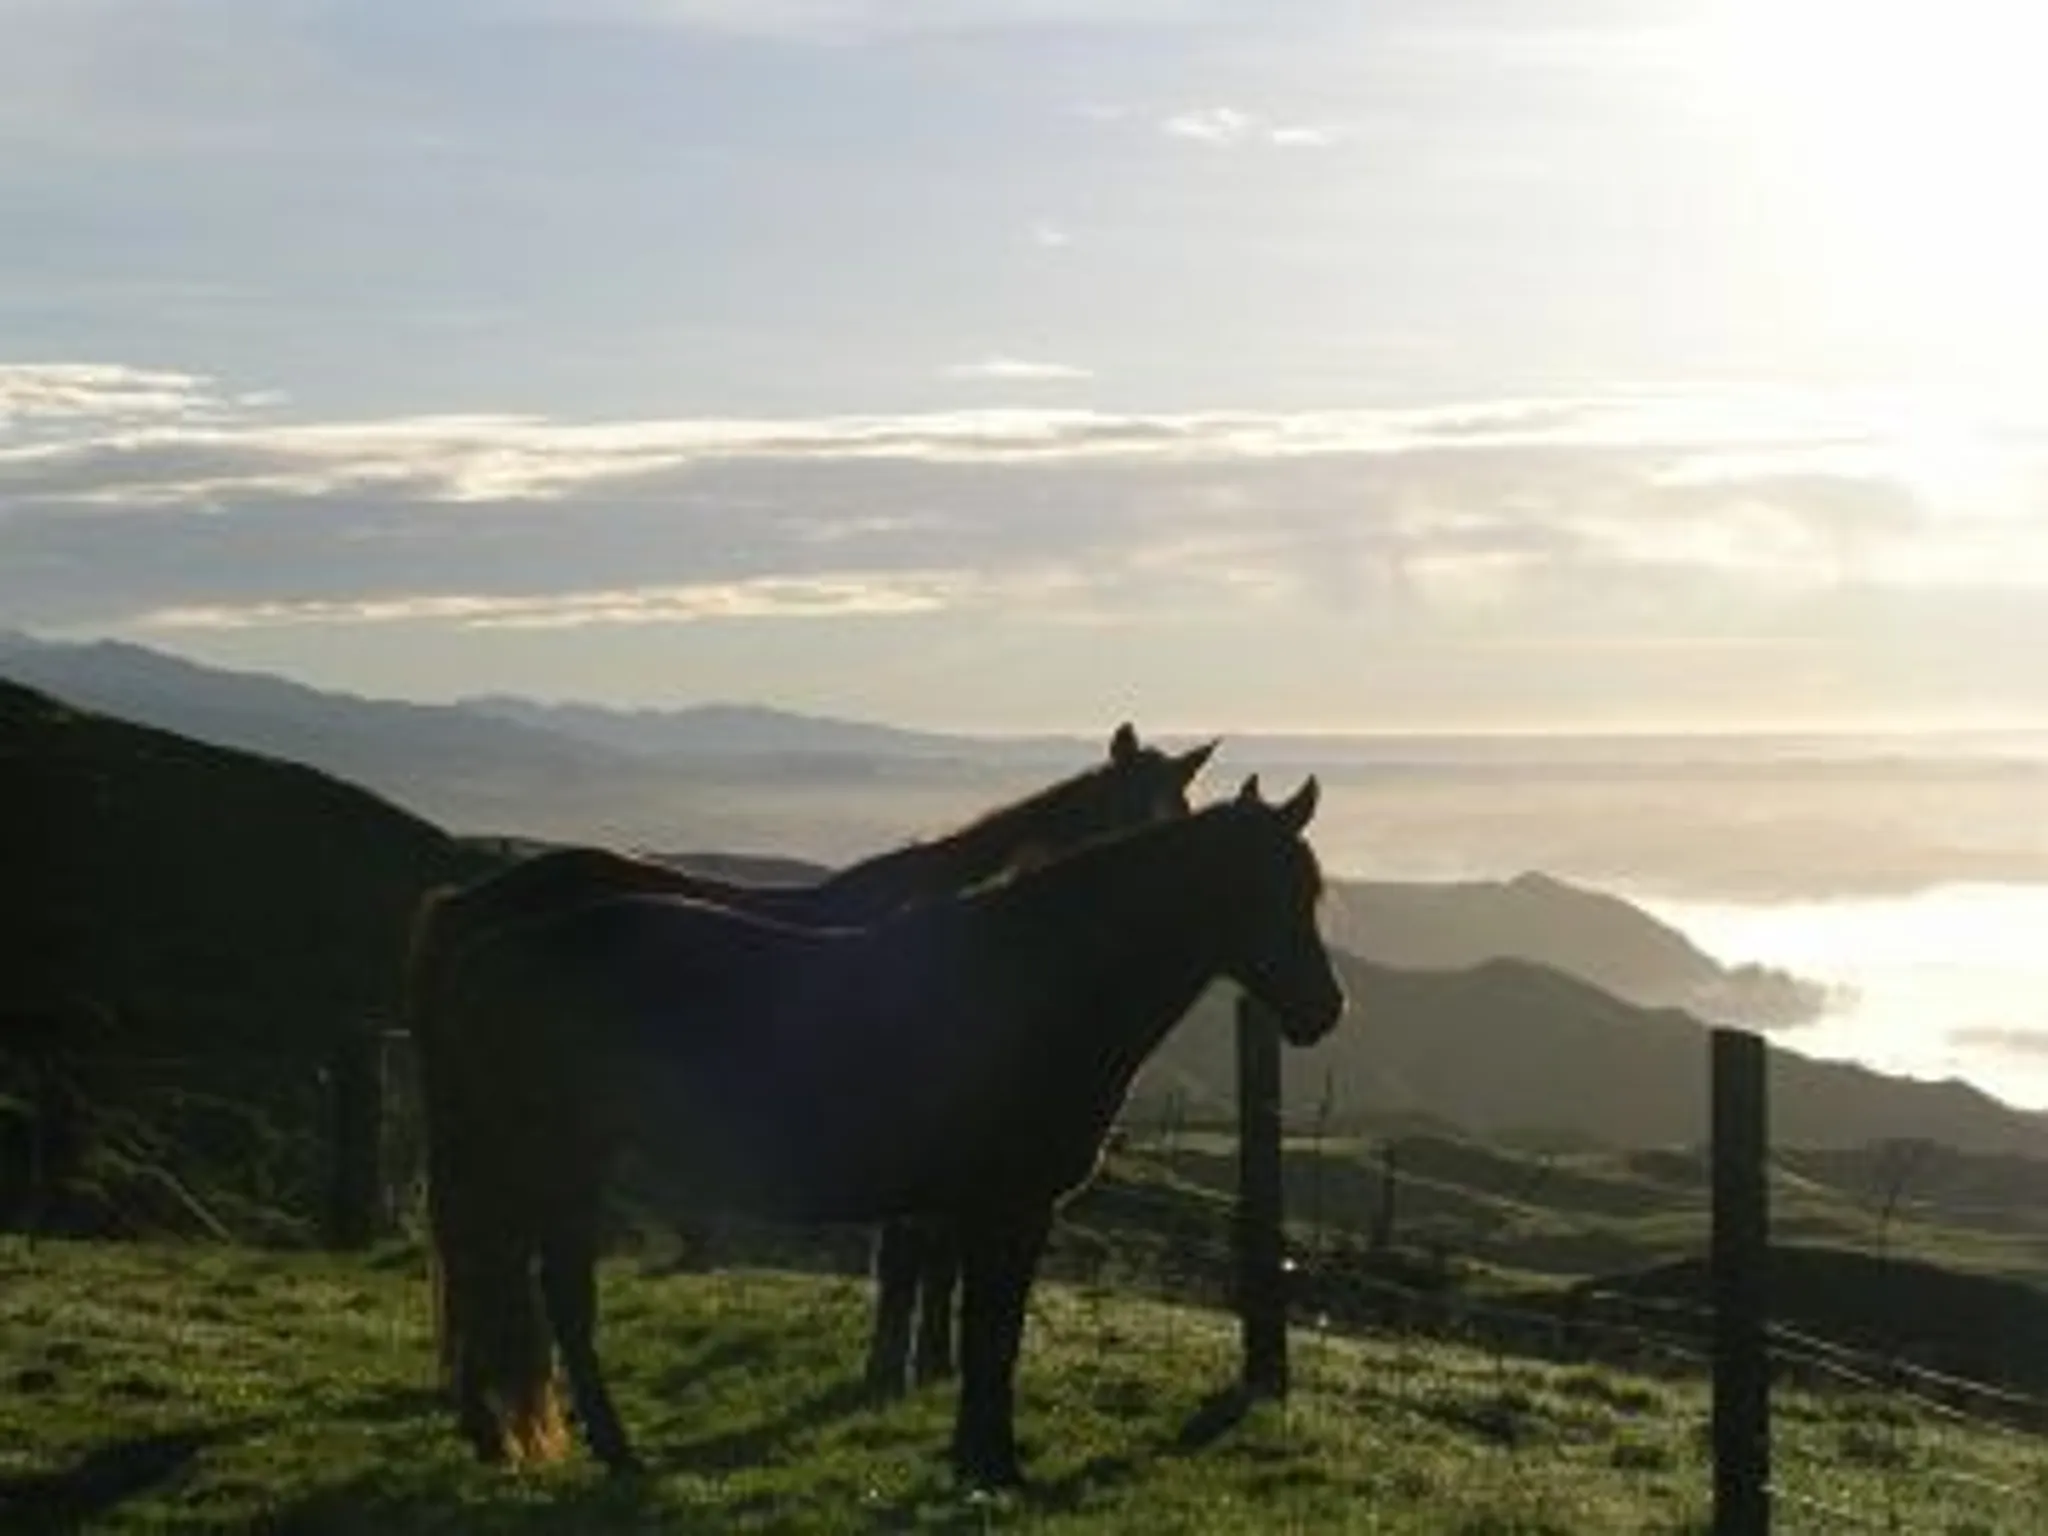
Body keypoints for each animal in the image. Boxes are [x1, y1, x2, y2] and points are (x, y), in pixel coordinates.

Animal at [418, 774, 1344, 1486]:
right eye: (1260, 891)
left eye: (1311, 891)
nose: (1323, 1011)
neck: (1039, 979)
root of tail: (488, 944)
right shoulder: (1007, 1208)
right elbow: (989, 1334)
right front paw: (991, 1465)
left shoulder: (973, 1209)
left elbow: (979, 1328)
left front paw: (975, 1458)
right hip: (558, 1163)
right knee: (561, 1298)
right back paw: (612, 1452)